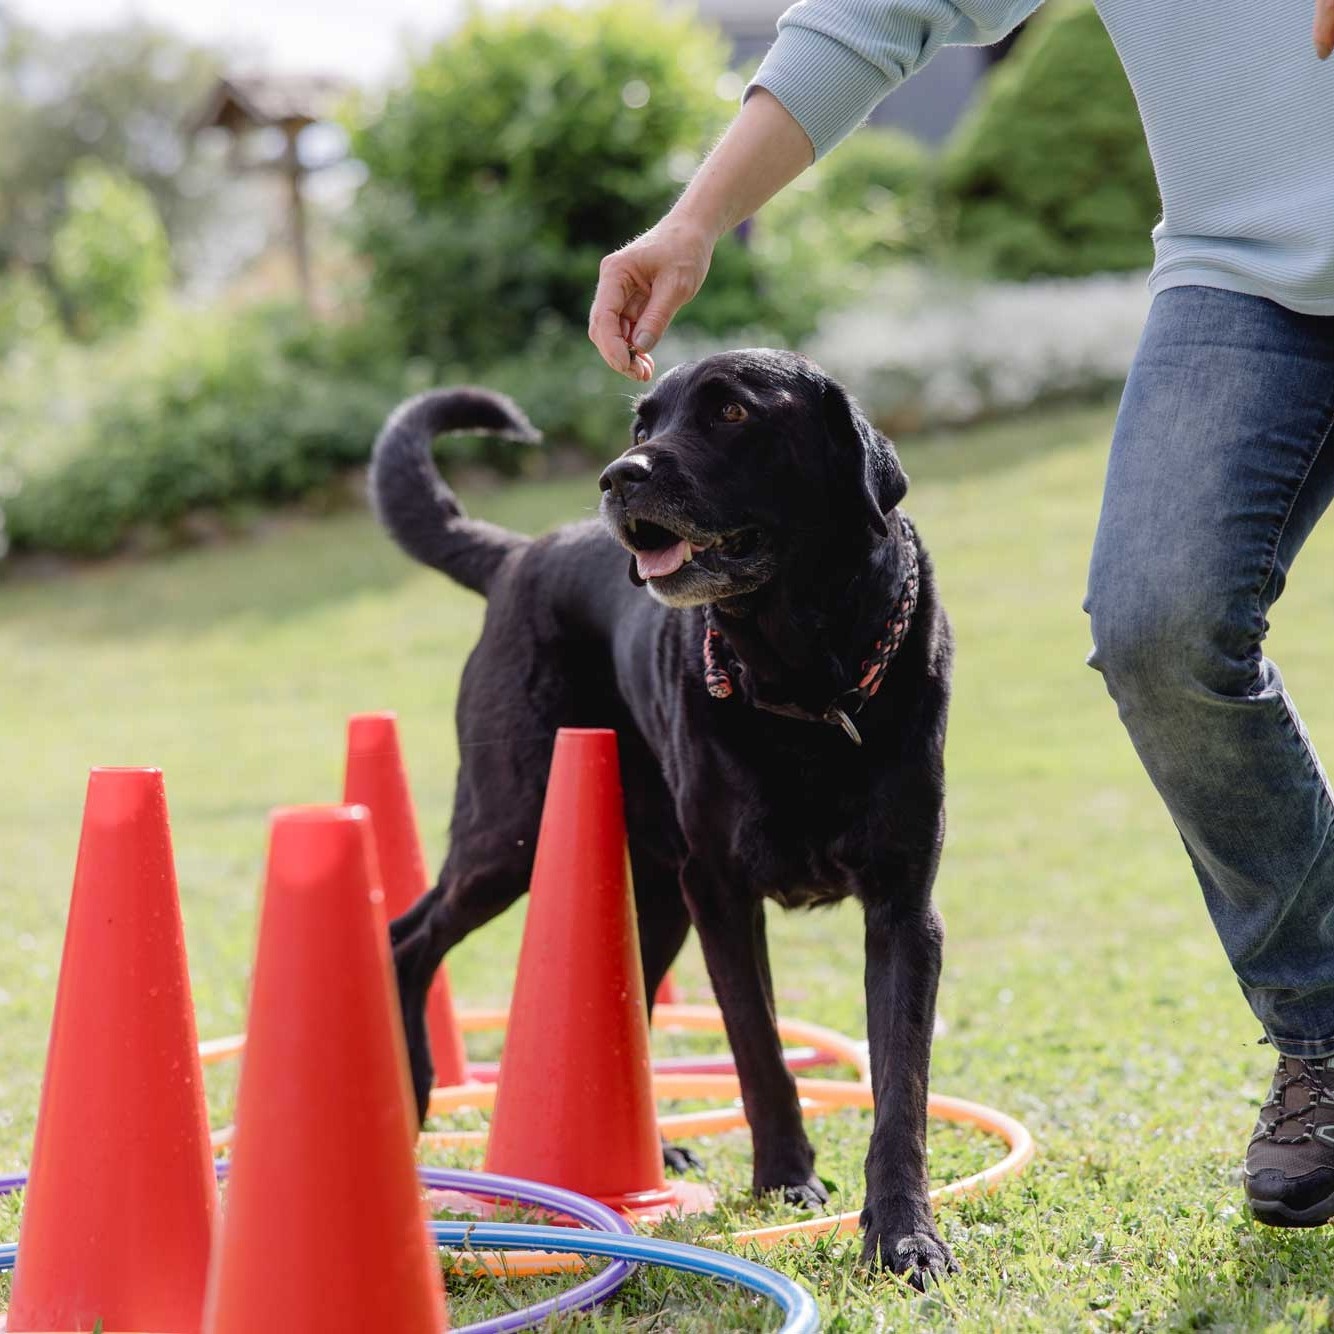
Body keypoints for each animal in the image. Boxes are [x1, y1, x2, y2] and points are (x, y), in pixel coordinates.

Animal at [376, 349, 960, 1285]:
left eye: (731, 413)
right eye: (642, 423)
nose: (619, 476)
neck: (805, 678)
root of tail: (521, 554)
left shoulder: (904, 908)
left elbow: (899, 1084)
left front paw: (906, 1236)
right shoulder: (720, 892)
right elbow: (758, 1048)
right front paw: (787, 1178)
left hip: (648, 893)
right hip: (513, 830)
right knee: (408, 935)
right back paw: (417, 1089)